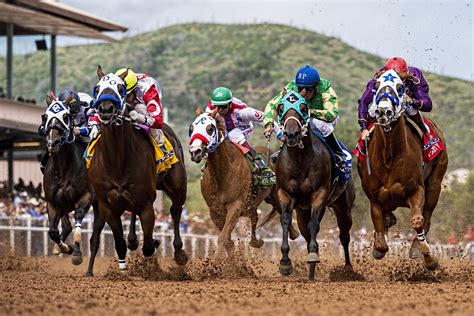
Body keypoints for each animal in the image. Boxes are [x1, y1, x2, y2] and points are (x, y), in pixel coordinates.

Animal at [42, 93, 95, 264]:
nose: (52, 143)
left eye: (65, 116)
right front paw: (65, 248)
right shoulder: (52, 202)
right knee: (65, 226)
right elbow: (53, 231)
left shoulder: (86, 196)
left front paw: (76, 252)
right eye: (45, 117)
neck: (63, 169)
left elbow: (78, 216)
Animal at [189, 110, 278, 256]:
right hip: (251, 205)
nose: (194, 151)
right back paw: (256, 242)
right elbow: (228, 240)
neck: (222, 173)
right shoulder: (215, 211)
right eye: (191, 128)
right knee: (255, 217)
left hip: (274, 196)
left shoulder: (235, 206)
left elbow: (223, 237)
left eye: (210, 129)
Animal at [274, 90, 356, 280]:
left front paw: (312, 256)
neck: (299, 160)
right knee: (306, 232)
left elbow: (314, 224)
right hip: (302, 211)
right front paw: (285, 262)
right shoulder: (284, 193)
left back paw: (348, 269)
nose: (292, 134)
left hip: (343, 207)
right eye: (280, 108)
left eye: (304, 108)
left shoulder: (320, 194)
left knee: (344, 235)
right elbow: (286, 220)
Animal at [360, 69, 448, 270]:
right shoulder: (375, 199)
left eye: (400, 87)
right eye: (376, 86)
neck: (389, 156)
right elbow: (381, 244)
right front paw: (377, 247)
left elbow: (418, 221)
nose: (383, 111)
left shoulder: (417, 190)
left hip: (435, 183)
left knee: (427, 215)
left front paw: (428, 257)